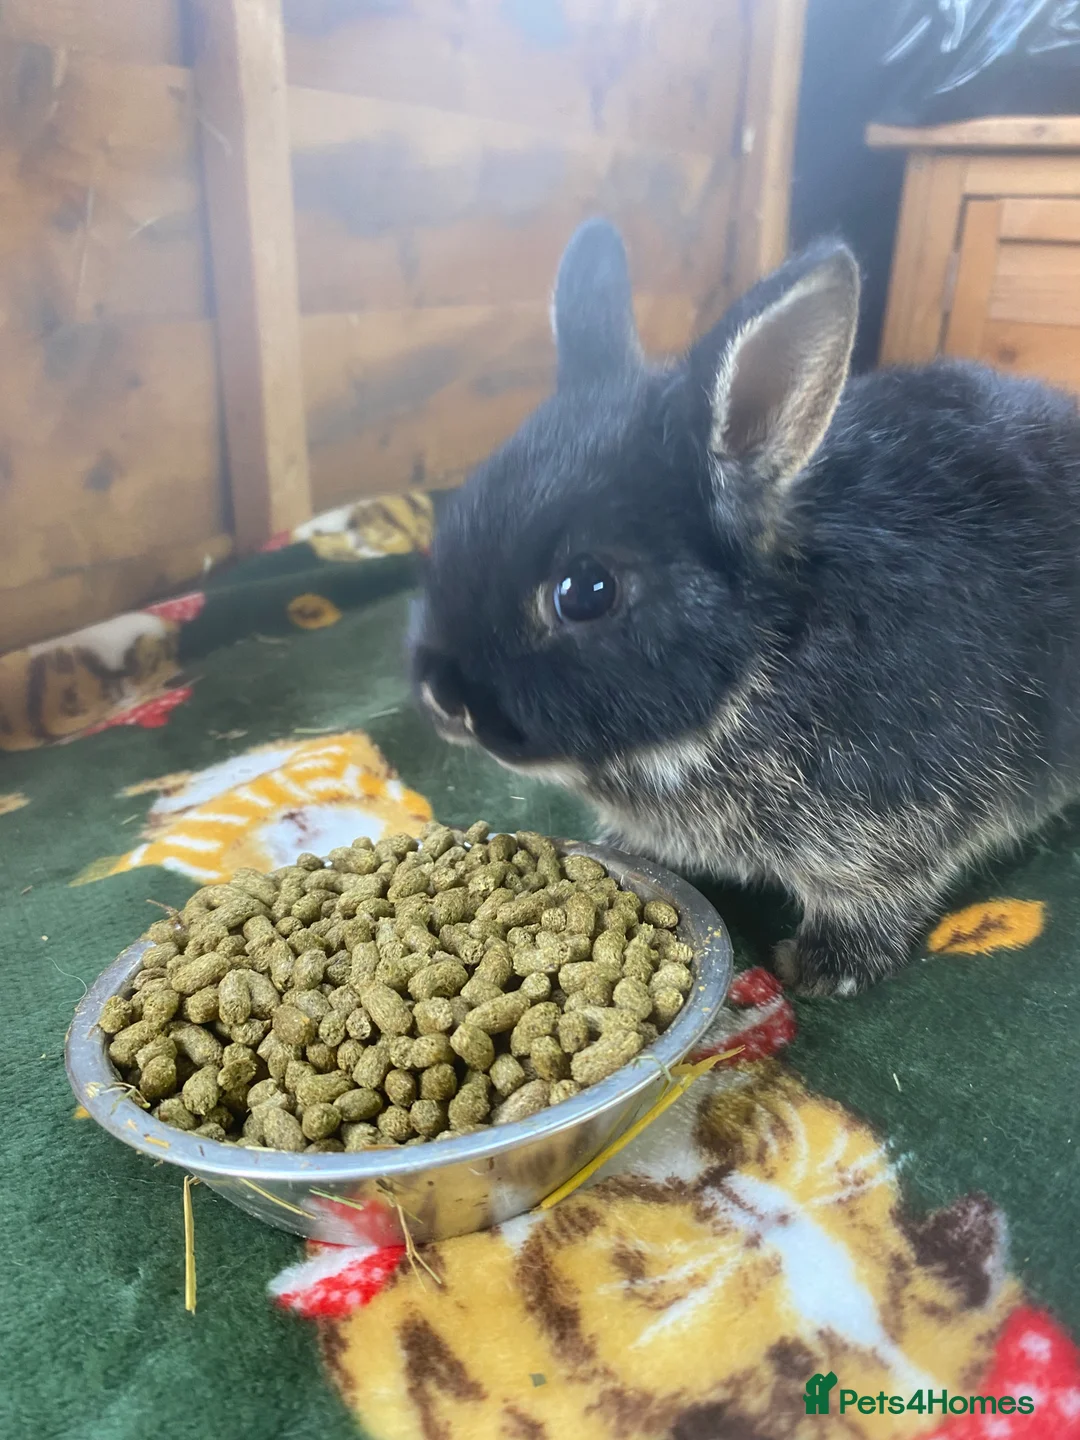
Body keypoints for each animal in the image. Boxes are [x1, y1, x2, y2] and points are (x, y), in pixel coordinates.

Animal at [409, 218, 1080, 994]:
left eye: (585, 592)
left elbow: (873, 898)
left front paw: (819, 970)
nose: (441, 697)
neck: (766, 657)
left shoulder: (889, 832)